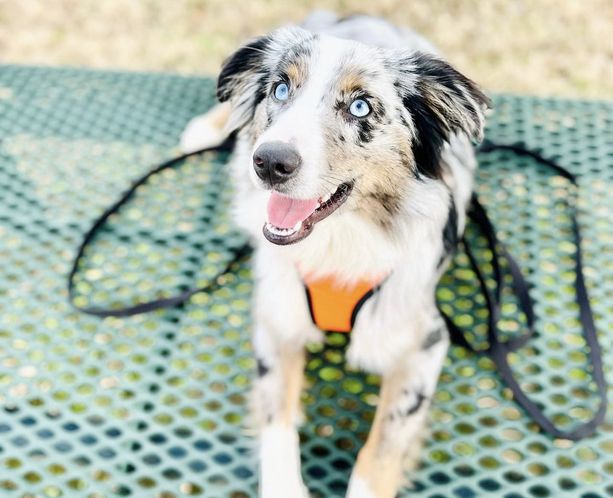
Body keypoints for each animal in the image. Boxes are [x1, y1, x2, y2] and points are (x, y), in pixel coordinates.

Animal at [180, 11, 490, 498]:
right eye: (280, 90)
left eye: (360, 106)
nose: (269, 162)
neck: (336, 242)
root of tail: (367, 17)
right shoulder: (277, 319)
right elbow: (277, 425)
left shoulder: (423, 344)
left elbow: (380, 452)